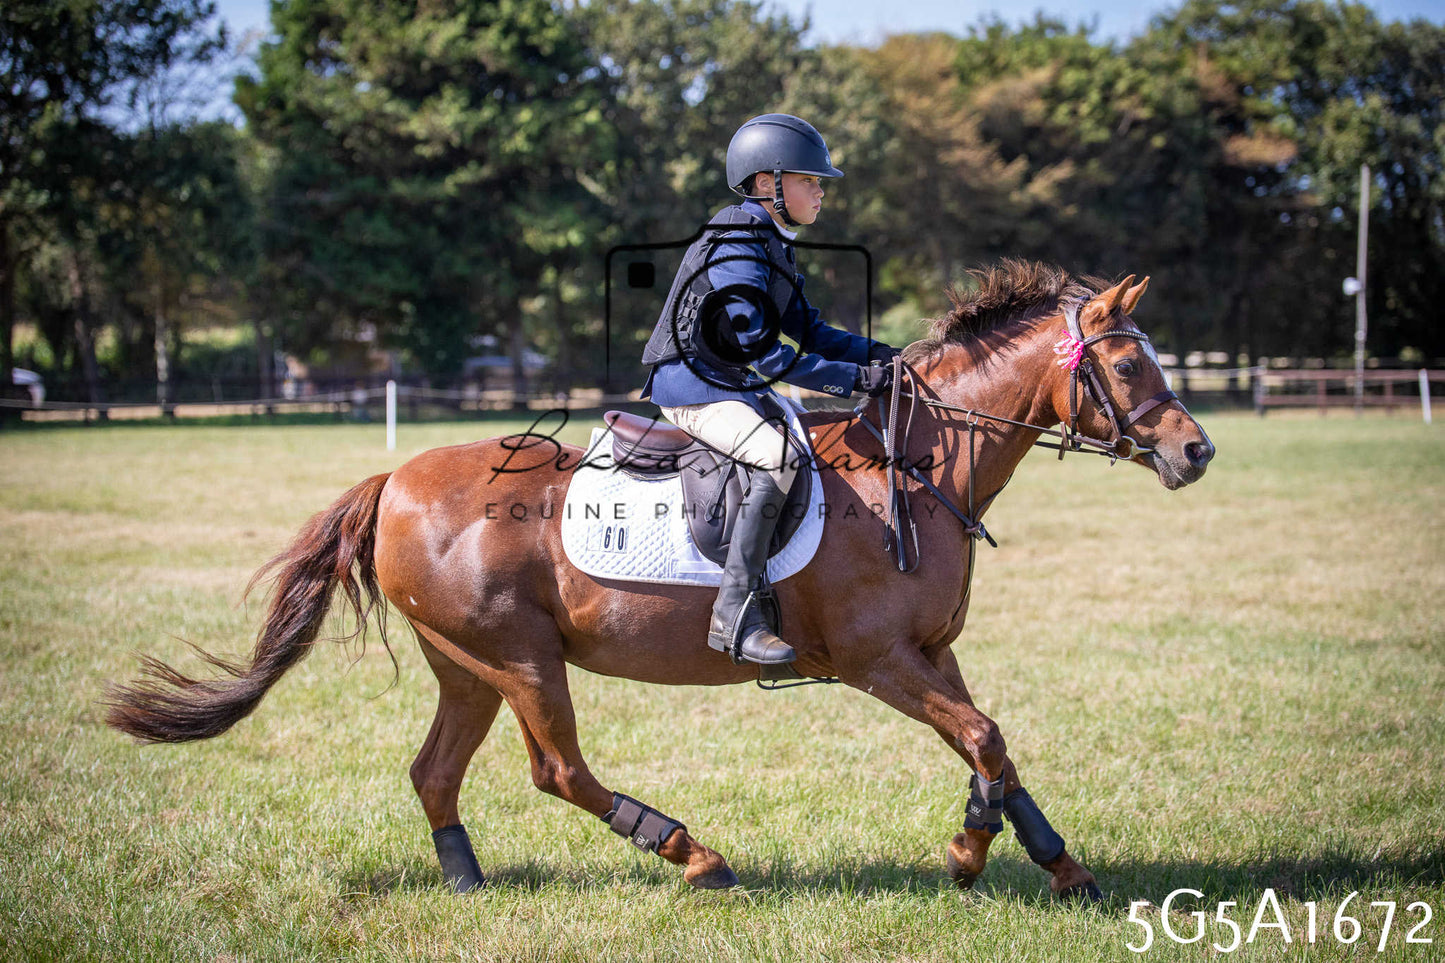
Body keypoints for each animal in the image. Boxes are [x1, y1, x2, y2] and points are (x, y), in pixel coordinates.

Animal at [105, 261, 1214, 900]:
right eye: (1127, 367)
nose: (1194, 452)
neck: (913, 469)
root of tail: (395, 481)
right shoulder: (878, 660)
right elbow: (984, 741)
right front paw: (967, 856)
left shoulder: (930, 653)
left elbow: (997, 751)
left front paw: (1057, 863)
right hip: (523, 659)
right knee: (558, 771)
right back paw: (693, 854)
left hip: (466, 663)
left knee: (434, 771)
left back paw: (466, 882)